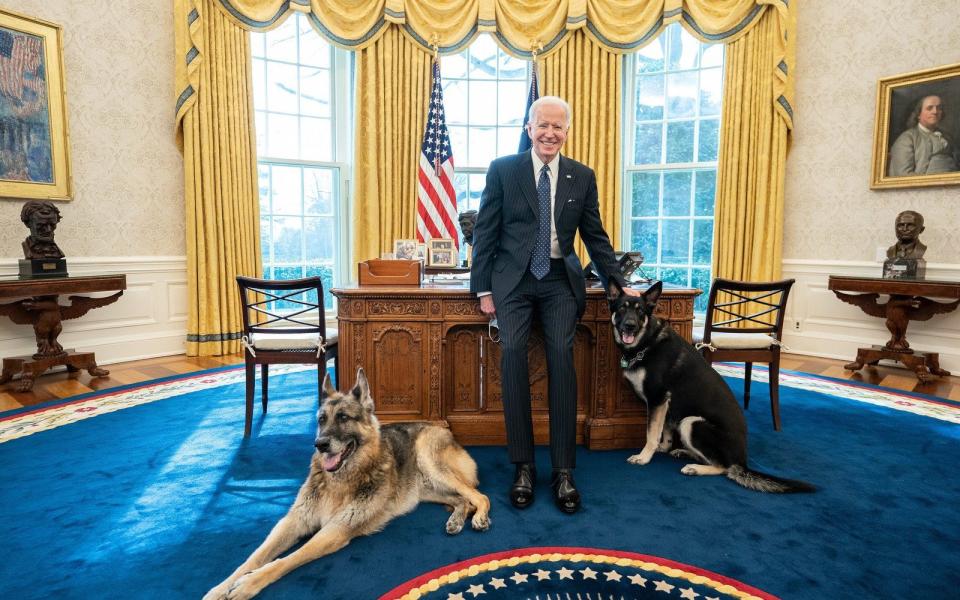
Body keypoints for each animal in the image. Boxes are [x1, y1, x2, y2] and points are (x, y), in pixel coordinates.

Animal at [201, 366, 488, 600]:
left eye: (343, 418)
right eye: (321, 420)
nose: (320, 444)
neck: (339, 480)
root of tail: (443, 429)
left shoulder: (335, 530)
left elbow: (286, 559)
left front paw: (248, 583)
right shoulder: (294, 521)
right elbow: (254, 557)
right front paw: (221, 586)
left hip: (431, 461)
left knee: (479, 496)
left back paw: (479, 518)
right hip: (426, 490)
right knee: (462, 500)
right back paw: (455, 520)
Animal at [604, 278, 812, 494]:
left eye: (640, 312)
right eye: (622, 308)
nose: (630, 326)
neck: (646, 342)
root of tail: (742, 461)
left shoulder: (657, 399)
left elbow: (652, 433)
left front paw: (644, 457)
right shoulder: (667, 405)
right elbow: (665, 430)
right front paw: (664, 447)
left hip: (692, 423)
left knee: (723, 467)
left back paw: (695, 468)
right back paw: (685, 452)